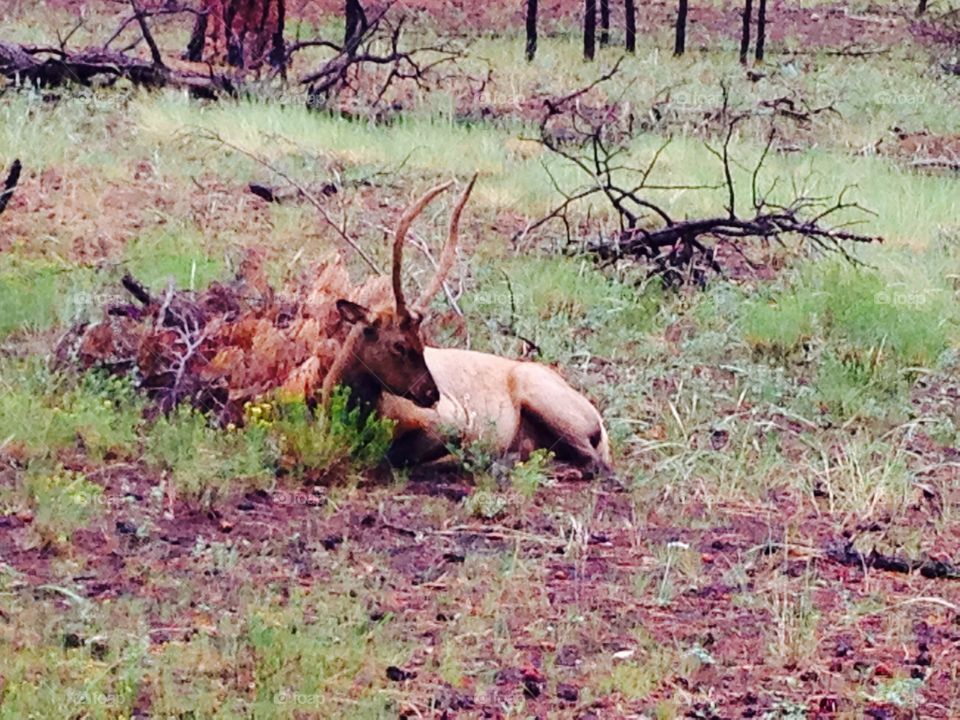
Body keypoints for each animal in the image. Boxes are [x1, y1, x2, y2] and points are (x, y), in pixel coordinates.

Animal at [334, 175, 612, 478]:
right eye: (398, 344)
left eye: (422, 342)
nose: (432, 393)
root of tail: (600, 423)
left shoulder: (452, 422)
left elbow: (388, 458)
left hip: (544, 400)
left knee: (597, 464)